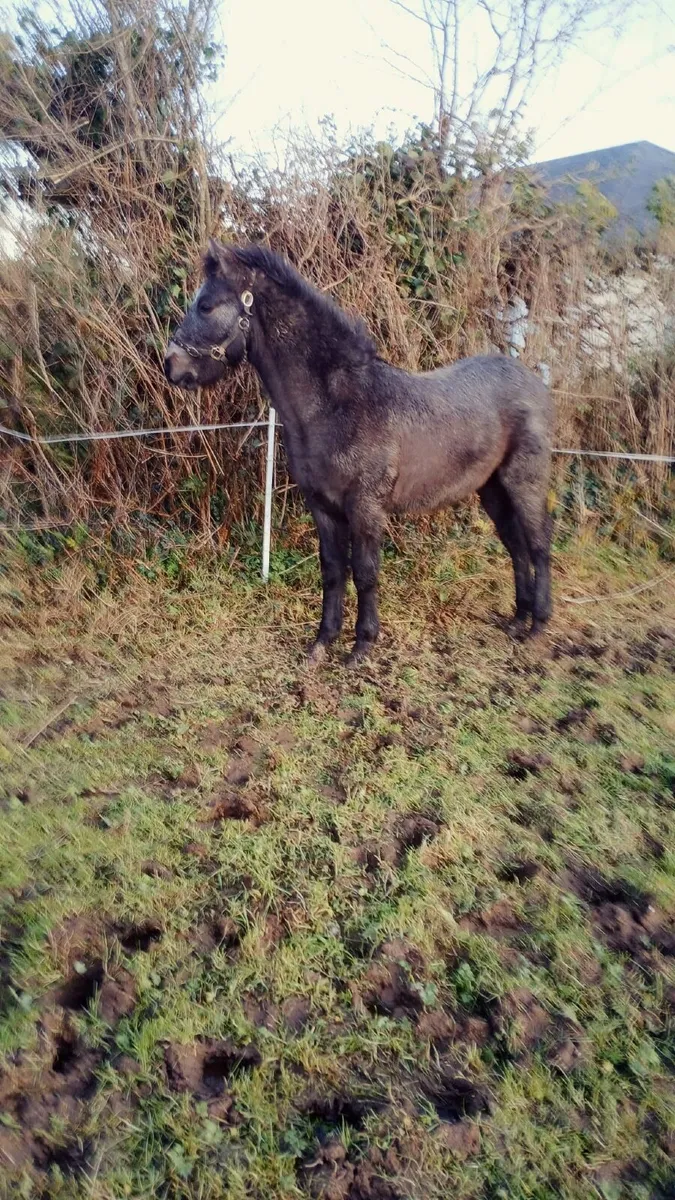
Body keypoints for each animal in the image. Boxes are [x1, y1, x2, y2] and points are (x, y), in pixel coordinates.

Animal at [164, 239, 554, 663]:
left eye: (206, 305)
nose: (172, 365)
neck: (336, 404)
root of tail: (533, 382)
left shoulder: (365, 507)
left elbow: (366, 572)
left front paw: (362, 646)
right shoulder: (322, 506)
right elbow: (333, 570)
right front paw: (321, 643)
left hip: (524, 482)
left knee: (538, 543)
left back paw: (537, 626)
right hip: (492, 489)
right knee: (515, 545)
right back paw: (517, 621)